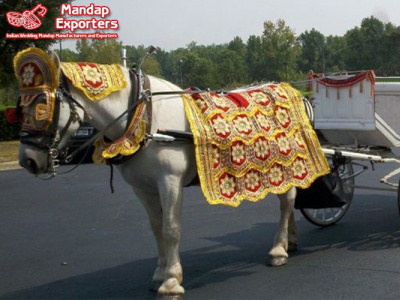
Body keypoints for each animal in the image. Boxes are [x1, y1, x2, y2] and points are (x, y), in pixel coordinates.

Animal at [18, 51, 296, 296]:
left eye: (42, 105)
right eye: (20, 107)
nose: (28, 160)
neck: (145, 117)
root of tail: (288, 88)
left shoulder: (169, 181)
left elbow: (171, 229)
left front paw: (171, 282)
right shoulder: (143, 188)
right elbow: (156, 228)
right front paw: (160, 274)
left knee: (287, 202)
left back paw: (278, 250)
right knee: (289, 202)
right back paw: (290, 241)